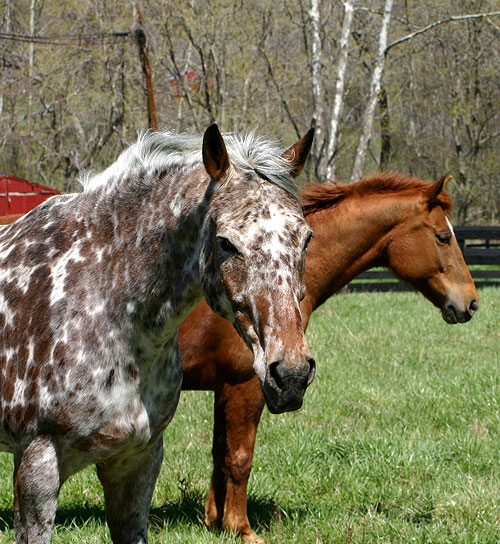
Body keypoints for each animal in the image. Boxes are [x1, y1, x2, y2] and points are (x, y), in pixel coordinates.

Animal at [176, 172, 476, 540]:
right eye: (443, 237)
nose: (471, 302)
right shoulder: (244, 387)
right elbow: (239, 458)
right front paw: (241, 528)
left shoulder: (224, 390)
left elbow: (220, 454)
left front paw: (216, 522)